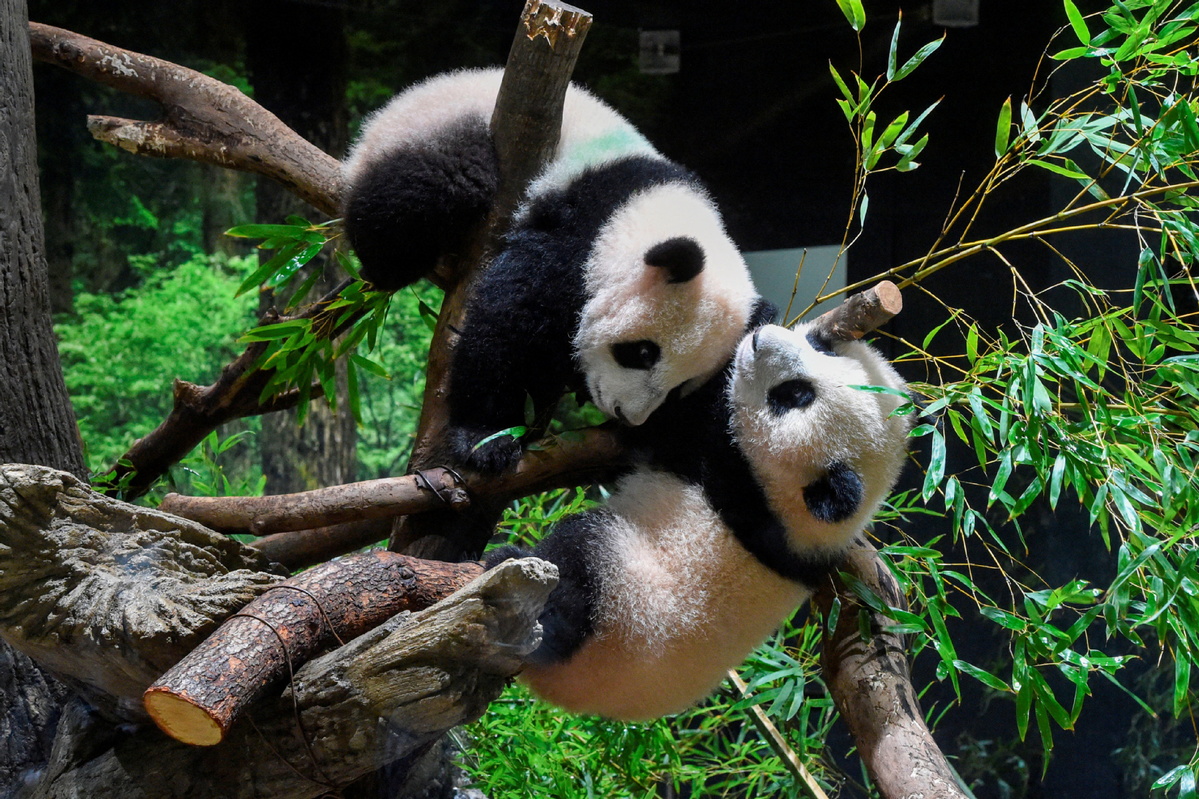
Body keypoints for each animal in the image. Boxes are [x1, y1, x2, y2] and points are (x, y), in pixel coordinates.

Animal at [341, 69, 757, 472]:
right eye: (642, 353)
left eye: (679, 388)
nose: (627, 414)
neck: (647, 208)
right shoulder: (580, 228)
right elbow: (510, 318)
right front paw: (488, 438)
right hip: (436, 130)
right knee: (429, 187)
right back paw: (391, 265)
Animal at [485, 309, 913, 720]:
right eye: (821, 349)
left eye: (794, 394)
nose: (759, 339)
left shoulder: (733, 475)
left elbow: (669, 425)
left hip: (621, 607)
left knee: (577, 569)